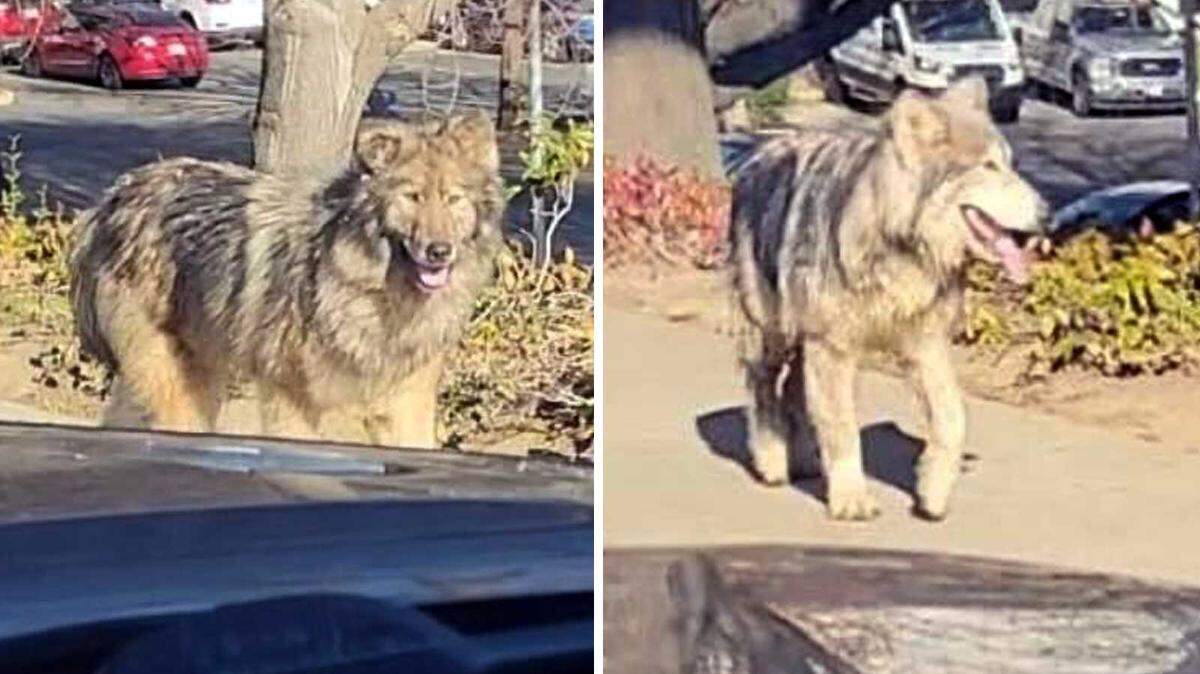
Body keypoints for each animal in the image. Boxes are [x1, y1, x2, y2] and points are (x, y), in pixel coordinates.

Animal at [70, 111, 504, 447]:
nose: (439, 251)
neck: (377, 292)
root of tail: (115, 196)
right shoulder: (294, 398)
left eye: (453, 199)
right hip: (179, 385)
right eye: (412, 197)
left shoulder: (406, 402)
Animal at [731, 78, 1049, 520]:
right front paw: (851, 500)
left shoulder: (926, 345)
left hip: (803, 339)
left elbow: (953, 420)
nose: (1049, 214)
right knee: (763, 388)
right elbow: (843, 428)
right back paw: (773, 462)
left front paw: (932, 492)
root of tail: (757, 153)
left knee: (795, 392)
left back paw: (807, 462)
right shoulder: (833, 347)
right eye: (988, 167)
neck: (902, 247)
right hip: (773, 333)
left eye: (1009, 164)